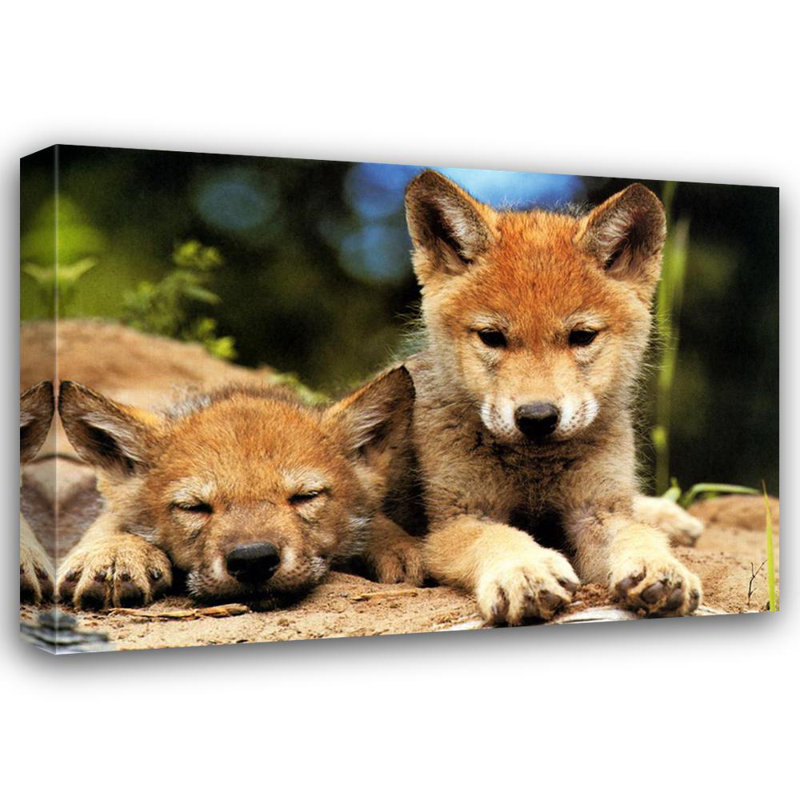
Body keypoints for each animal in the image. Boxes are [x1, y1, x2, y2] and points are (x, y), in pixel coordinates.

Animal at [399, 170, 703, 624]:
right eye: (492, 337)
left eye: (582, 336)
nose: (538, 417)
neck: (534, 468)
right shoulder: (459, 518)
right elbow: (499, 537)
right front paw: (525, 572)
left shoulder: (595, 509)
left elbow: (634, 532)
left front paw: (660, 568)